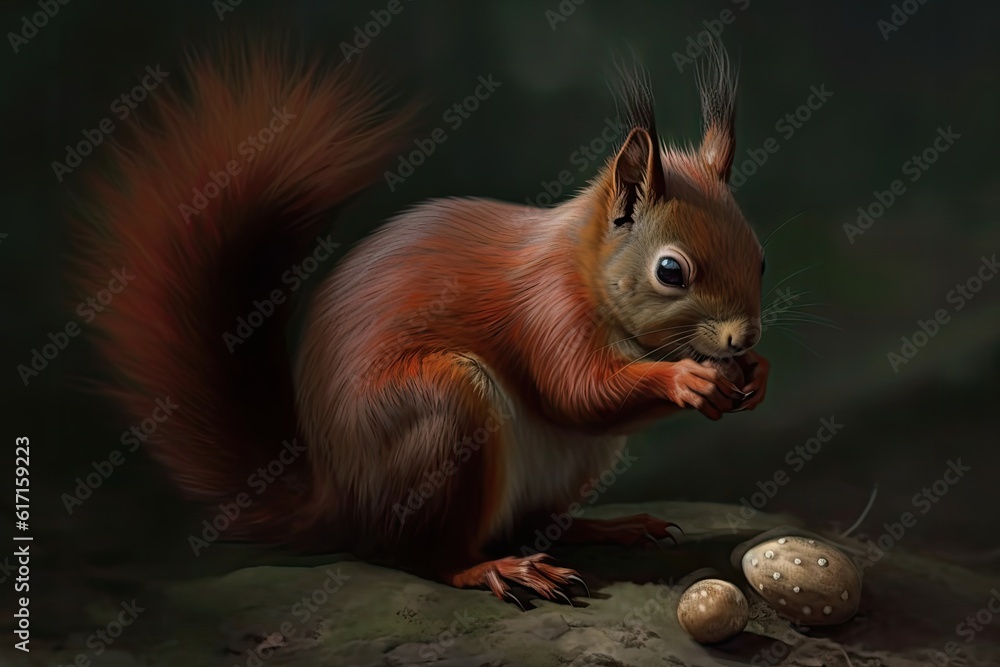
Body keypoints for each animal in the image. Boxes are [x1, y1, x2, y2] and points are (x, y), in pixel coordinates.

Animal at [72, 36, 769, 603]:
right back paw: (496, 570)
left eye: (760, 257)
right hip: (439, 409)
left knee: (534, 521)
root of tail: (340, 500)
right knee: (422, 554)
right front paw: (686, 380)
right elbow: (576, 392)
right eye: (671, 271)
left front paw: (755, 374)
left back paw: (610, 526)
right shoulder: (546, 311)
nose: (743, 337)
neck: (582, 265)